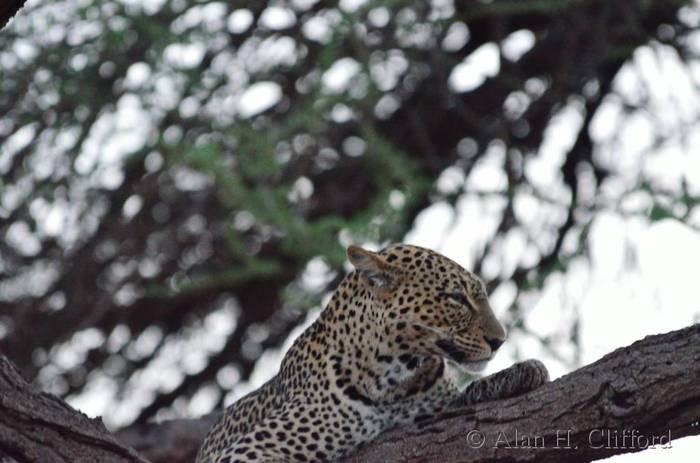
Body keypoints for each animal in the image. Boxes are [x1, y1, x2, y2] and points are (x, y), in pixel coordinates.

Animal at [195, 244, 549, 462]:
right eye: (456, 298)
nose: (499, 340)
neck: (395, 375)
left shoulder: (434, 404)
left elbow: (469, 391)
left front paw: (524, 370)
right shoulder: (246, 450)